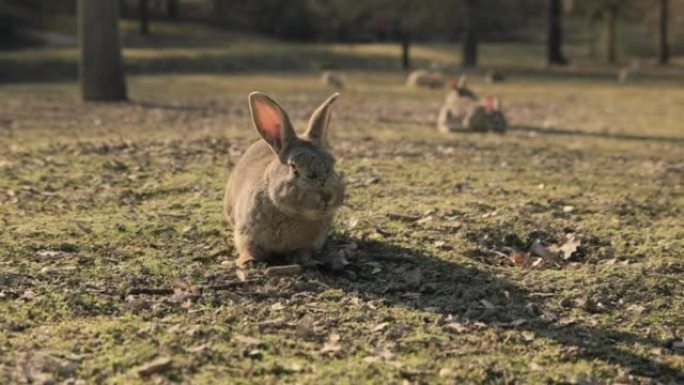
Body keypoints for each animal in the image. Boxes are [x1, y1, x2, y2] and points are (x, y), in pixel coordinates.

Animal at [223, 92, 344, 268]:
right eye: (294, 168)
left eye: (332, 163)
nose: (326, 196)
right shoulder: (245, 232)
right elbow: (247, 247)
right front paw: (248, 261)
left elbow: (303, 250)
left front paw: (302, 259)